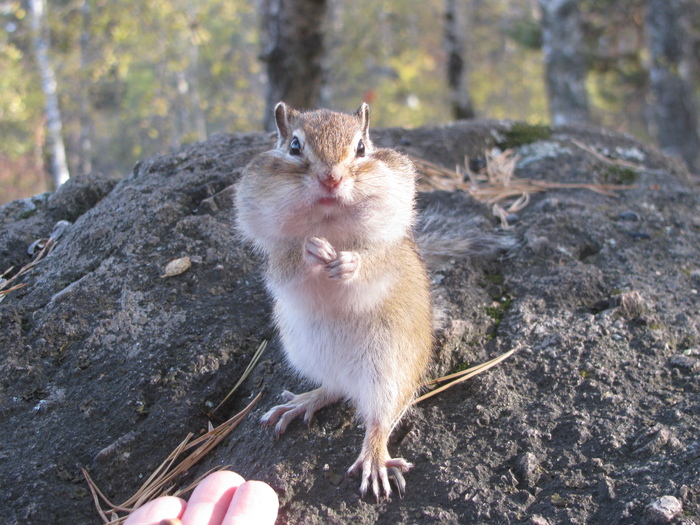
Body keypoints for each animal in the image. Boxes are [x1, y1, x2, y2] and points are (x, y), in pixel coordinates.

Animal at [234, 102, 509, 501]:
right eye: (295, 146)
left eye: (361, 148)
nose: (331, 179)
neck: (330, 222)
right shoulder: (277, 258)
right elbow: (290, 264)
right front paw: (311, 250)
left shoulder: (388, 253)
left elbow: (375, 262)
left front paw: (350, 262)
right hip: (309, 353)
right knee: (334, 387)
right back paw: (305, 401)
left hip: (389, 366)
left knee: (380, 418)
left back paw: (375, 458)